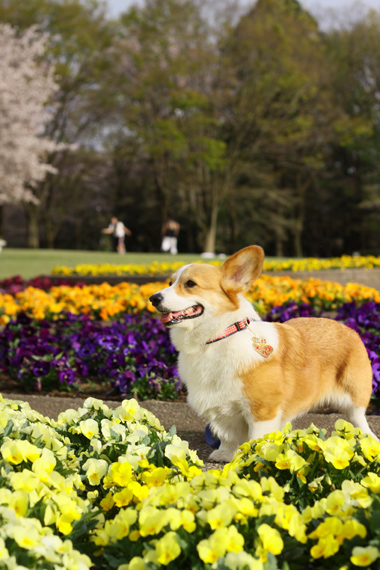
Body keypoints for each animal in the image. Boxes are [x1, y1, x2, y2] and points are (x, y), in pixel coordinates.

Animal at [148, 246, 374, 460]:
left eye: (190, 284)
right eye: (170, 281)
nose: (153, 298)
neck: (217, 337)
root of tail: (348, 328)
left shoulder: (263, 411)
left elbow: (256, 440)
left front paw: (250, 460)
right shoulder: (222, 411)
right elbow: (227, 437)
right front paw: (225, 454)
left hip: (354, 396)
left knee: (361, 422)